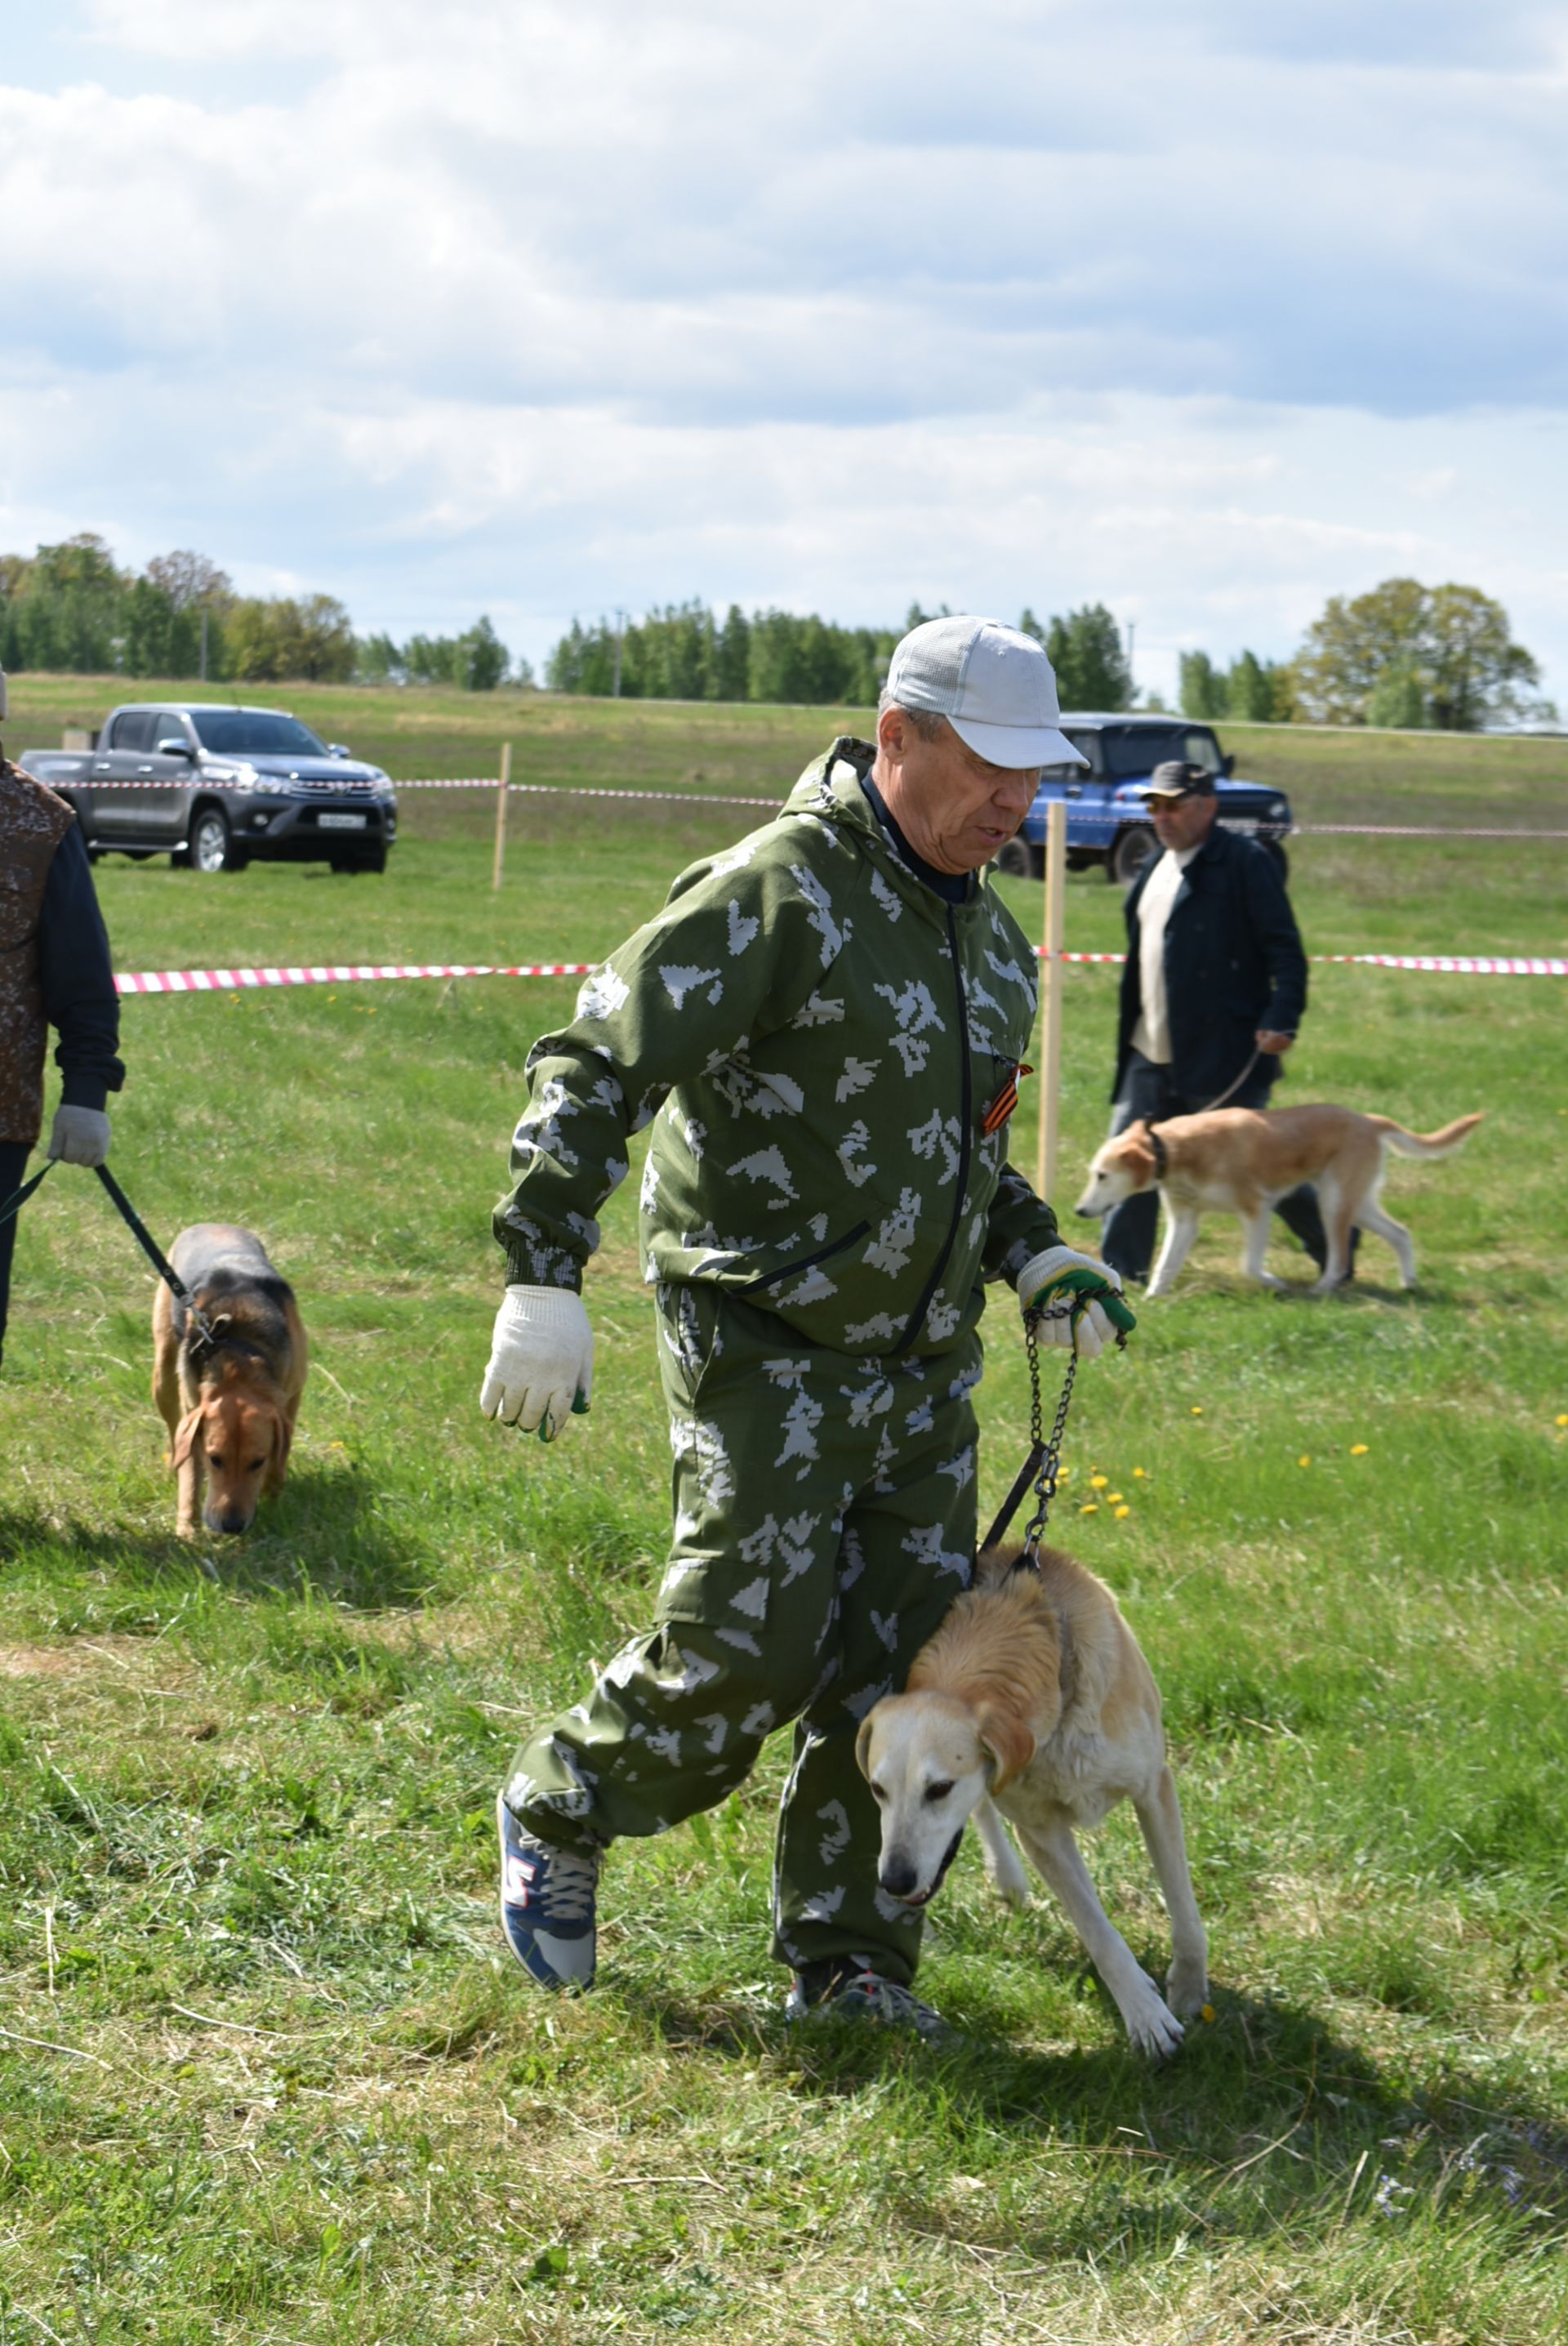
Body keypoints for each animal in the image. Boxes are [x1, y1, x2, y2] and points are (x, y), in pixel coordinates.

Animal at [152, 1229, 309, 1539]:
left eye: (258, 1462)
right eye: (215, 1460)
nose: (232, 1526)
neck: (241, 1352)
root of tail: (207, 1224)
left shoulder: (292, 1396)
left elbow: (279, 1463)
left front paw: (274, 1504)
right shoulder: (194, 1418)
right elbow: (190, 1476)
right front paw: (188, 1529)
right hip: (163, 1377)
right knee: (175, 1433)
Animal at [862, 1539, 1209, 2054]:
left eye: (940, 1789)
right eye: (877, 1789)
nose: (894, 1882)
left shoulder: (1154, 1788)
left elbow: (1184, 1910)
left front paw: (1188, 1991)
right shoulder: (1041, 1834)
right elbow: (1098, 1931)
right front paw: (1145, 2015)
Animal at [1078, 1102, 1481, 1304]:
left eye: (1103, 1176)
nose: (1079, 1211)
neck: (1177, 1150)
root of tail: (1367, 1119)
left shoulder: (1257, 1210)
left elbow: (1250, 1265)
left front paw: (1275, 1284)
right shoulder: (1185, 1221)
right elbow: (1165, 1265)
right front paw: (1152, 1298)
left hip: (1334, 1202)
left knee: (1340, 1256)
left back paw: (1323, 1289)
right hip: (1359, 1203)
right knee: (1400, 1233)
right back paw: (1408, 1282)